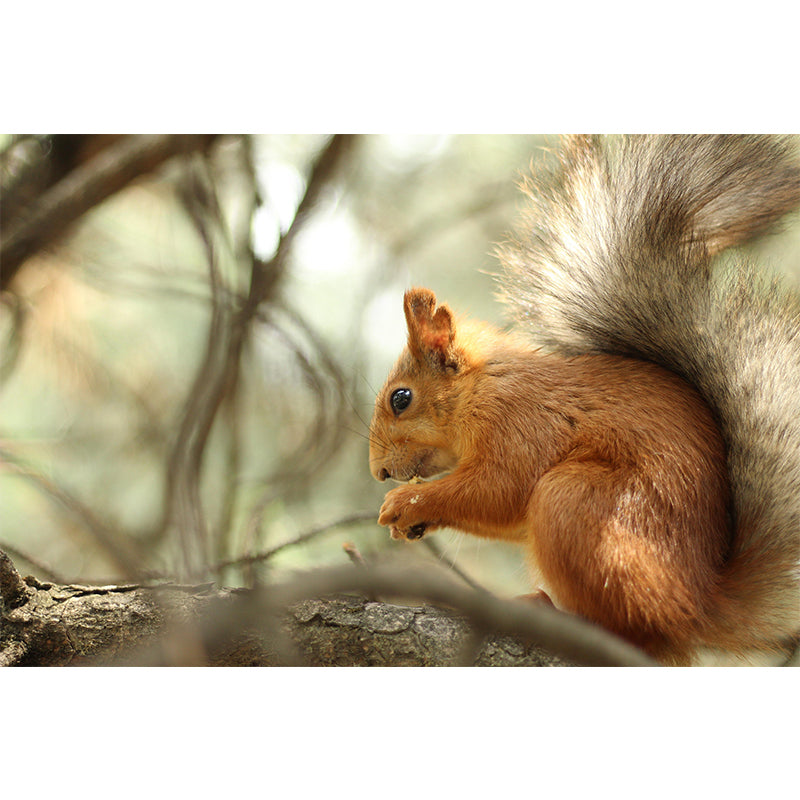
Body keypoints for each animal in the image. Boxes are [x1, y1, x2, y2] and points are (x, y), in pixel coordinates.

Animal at [368, 135, 800, 666]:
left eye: (401, 398)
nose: (378, 472)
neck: (481, 387)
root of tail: (697, 605)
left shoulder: (521, 421)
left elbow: (499, 488)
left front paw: (407, 501)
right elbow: (504, 514)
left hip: (578, 503)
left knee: (631, 630)